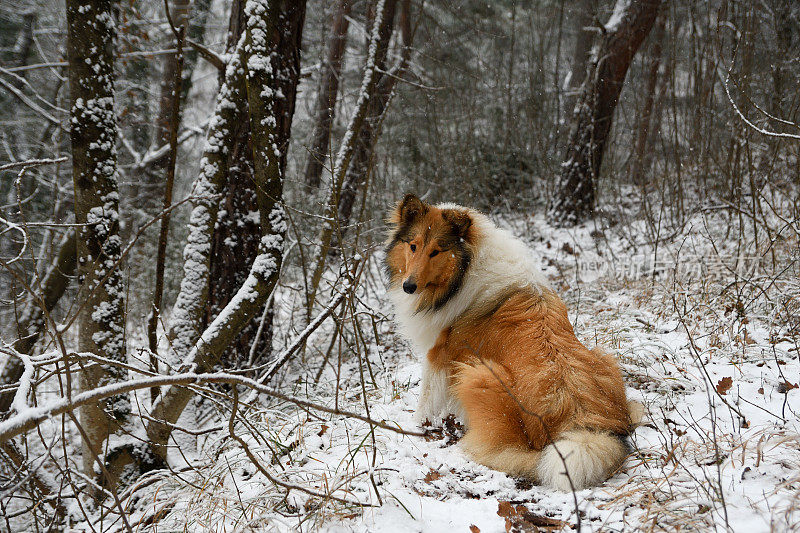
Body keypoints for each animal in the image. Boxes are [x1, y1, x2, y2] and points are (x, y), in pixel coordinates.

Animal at [382, 194, 644, 490]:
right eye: (413, 246)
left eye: (436, 251)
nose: (409, 286)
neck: (465, 270)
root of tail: (583, 424)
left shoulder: (439, 354)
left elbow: (425, 401)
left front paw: (414, 427)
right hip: (605, 358)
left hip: (477, 374)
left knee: (501, 452)